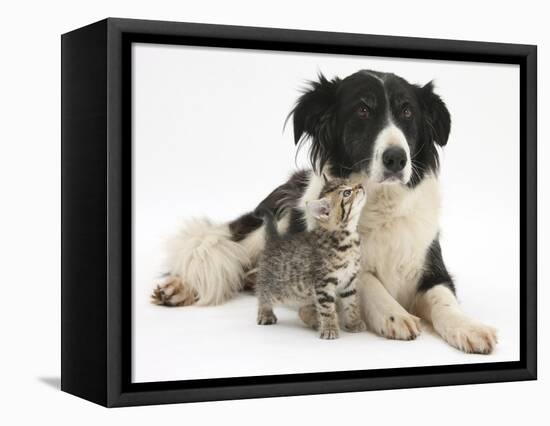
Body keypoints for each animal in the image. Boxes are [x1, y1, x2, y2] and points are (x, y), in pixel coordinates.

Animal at [256, 176, 368, 340]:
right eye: (347, 193)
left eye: (350, 182)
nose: (360, 185)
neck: (347, 239)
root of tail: (275, 241)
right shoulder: (323, 283)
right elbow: (327, 309)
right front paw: (329, 329)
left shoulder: (349, 281)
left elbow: (352, 303)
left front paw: (354, 323)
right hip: (278, 288)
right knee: (263, 294)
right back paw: (265, 313)